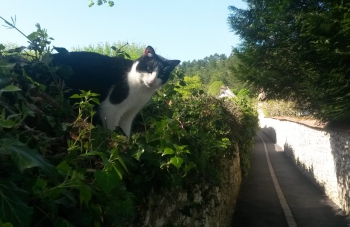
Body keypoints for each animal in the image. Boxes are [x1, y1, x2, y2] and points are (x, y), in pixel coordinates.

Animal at [53, 45, 182, 136]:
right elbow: (111, 129)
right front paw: (114, 143)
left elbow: (126, 130)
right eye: (149, 69)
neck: (141, 90)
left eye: (162, 75)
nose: (152, 81)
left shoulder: (130, 113)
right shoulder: (111, 108)